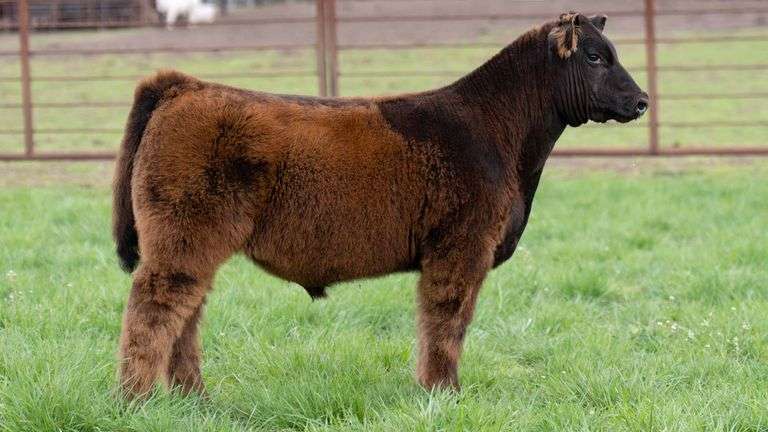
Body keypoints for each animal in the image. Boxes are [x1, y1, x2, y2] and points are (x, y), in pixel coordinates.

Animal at [112, 12, 648, 398]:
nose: (642, 100)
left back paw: (194, 398)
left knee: (186, 313)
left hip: (192, 245)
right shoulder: (461, 248)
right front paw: (445, 393)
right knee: (153, 309)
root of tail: (186, 85)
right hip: (182, 237)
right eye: (595, 57)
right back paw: (138, 400)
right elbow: (447, 321)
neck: (499, 133)